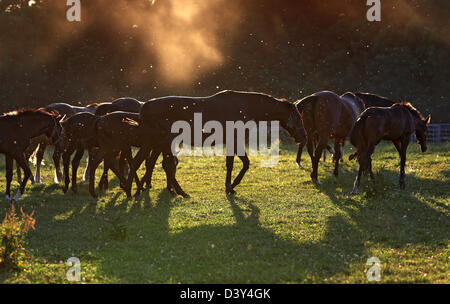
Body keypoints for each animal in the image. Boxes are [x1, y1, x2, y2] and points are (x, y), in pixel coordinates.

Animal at [123, 89, 306, 200]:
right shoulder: (235, 140)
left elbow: (238, 164)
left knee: (156, 164)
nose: (303, 137)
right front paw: (231, 186)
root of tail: (142, 109)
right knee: (142, 163)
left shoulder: (234, 142)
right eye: (298, 117)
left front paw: (230, 186)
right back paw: (133, 192)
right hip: (156, 142)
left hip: (160, 143)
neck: (246, 107)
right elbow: (240, 164)